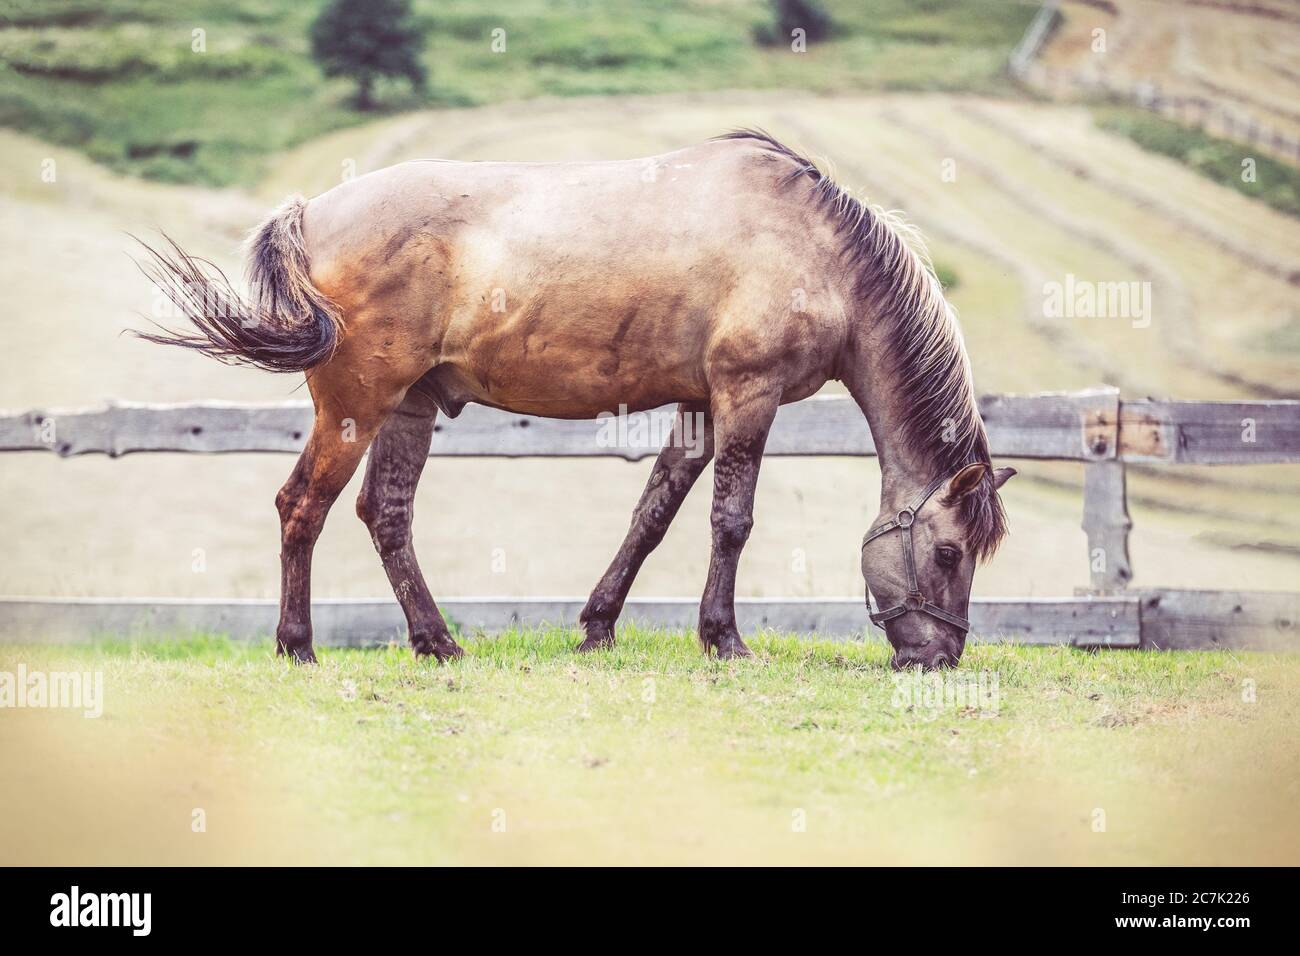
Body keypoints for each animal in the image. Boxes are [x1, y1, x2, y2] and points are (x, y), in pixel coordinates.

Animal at [135, 130, 1015, 671]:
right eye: (947, 554)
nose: (940, 658)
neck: (817, 252)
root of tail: (311, 213)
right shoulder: (747, 396)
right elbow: (730, 521)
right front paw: (724, 640)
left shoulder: (699, 406)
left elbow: (652, 517)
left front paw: (598, 627)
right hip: (355, 406)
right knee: (302, 507)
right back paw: (299, 646)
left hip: (410, 407)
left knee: (384, 516)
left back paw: (438, 643)